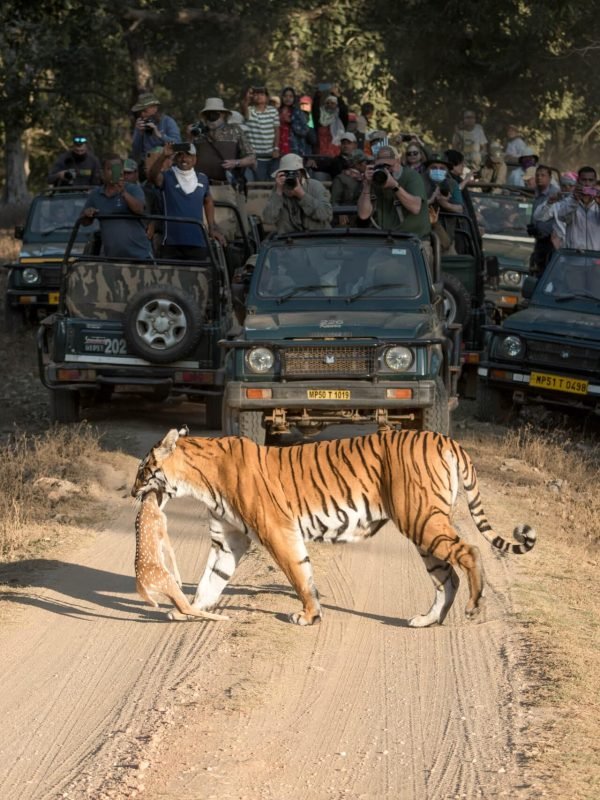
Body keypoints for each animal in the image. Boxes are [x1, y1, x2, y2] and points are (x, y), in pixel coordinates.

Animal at [131, 427, 536, 627]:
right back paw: (427, 620)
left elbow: (299, 575)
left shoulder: (278, 532)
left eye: (142, 470)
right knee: (446, 576)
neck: (199, 481)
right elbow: (210, 580)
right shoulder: (227, 540)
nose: (132, 492)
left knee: (470, 551)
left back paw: (475, 607)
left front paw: (309, 616)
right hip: (423, 529)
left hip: (422, 520)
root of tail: (446, 438)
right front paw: (189, 610)